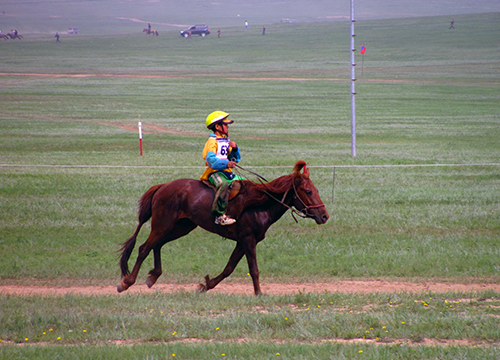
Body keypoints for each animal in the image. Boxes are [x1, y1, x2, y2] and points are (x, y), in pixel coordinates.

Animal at [117, 161, 328, 296]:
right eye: (308, 191)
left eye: (317, 190)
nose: (324, 216)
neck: (258, 204)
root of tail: (163, 186)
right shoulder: (248, 240)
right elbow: (253, 269)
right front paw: (259, 293)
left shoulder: (242, 242)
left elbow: (229, 268)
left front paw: (206, 285)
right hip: (162, 224)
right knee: (144, 248)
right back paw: (127, 282)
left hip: (180, 227)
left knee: (157, 245)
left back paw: (153, 276)